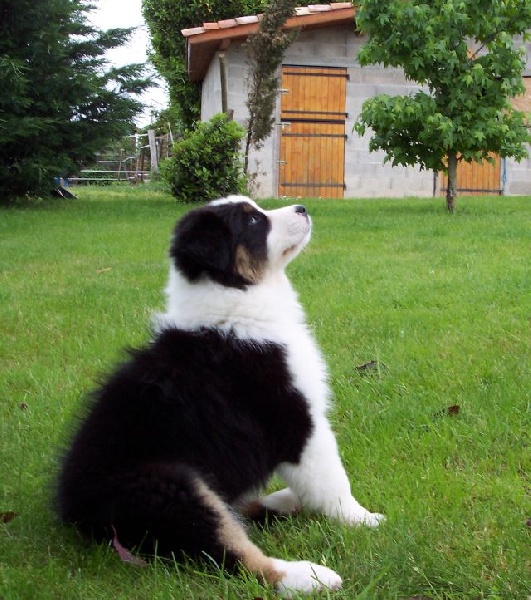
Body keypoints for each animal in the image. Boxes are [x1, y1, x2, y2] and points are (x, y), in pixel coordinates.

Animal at [56, 196, 384, 596]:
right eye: (254, 221)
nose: (303, 208)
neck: (234, 298)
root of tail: (74, 512)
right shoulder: (296, 420)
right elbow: (331, 479)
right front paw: (362, 518)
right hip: (168, 486)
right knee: (231, 552)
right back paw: (308, 575)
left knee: (232, 510)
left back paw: (284, 501)